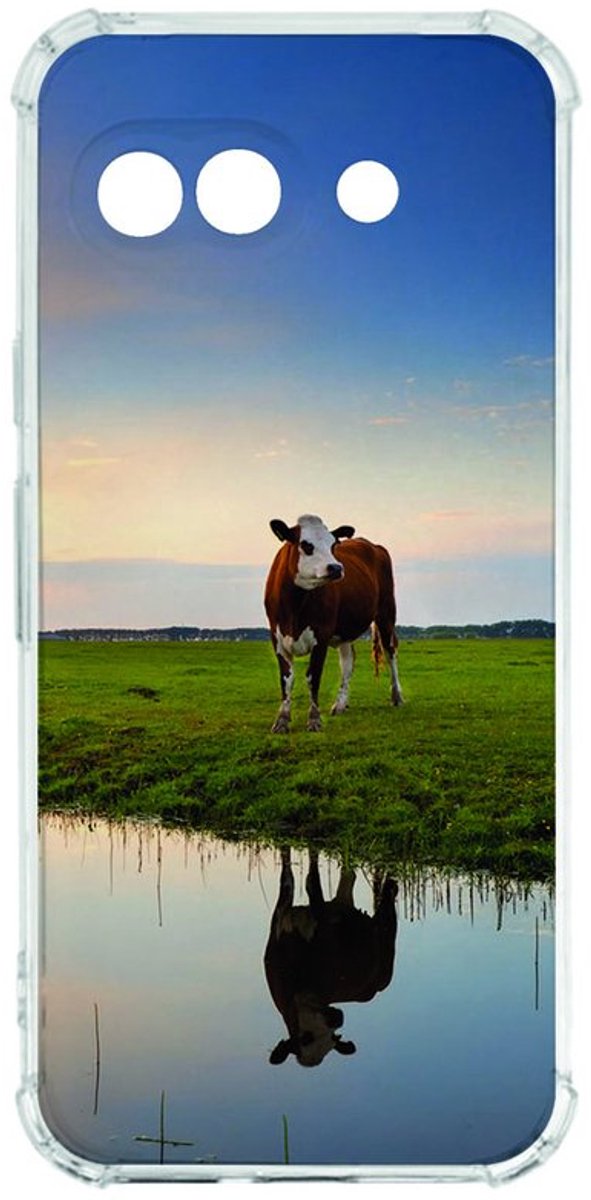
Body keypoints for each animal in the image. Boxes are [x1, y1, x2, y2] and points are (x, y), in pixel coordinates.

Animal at [264, 514, 403, 732]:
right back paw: (340, 704)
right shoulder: (277, 637)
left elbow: (313, 677)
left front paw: (314, 719)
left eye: (333, 545)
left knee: (390, 652)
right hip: (345, 631)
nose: (337, 568)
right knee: (348, 662)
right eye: (306, 545)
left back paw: (396, 696)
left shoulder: (321, 635)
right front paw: (282, 720)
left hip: (386, 613)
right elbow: (286, 679)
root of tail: (373, 545)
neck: (295, 604)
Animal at [264, 848, 398, 1068]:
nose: (337, 1019)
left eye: (333, 1038)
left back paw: (391, 885)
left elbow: (311, 882)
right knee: (349, 876)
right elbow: (288, 876)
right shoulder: (280, 915)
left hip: (386, 953)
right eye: (305, 1038)